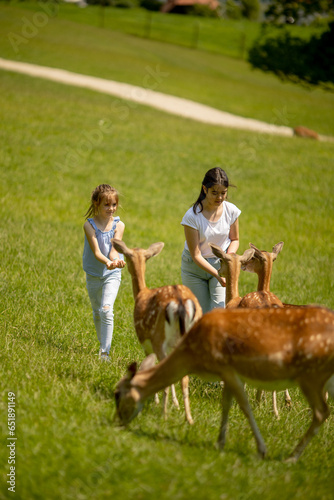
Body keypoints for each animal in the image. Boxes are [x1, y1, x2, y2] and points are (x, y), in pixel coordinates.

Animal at [111, 236, 202, 424]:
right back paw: (189, 418)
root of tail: (181, 302)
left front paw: (158, 401)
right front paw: (175, 404)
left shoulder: (146, 343)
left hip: (159, 337)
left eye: (127, 256)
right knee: (184, 377)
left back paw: (163, 414)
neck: (141, 293)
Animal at [115, 306, 334, 462]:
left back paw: (291, 457)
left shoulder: (226, 367)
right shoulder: (227, 373)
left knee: (321, 411)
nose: (118, 421)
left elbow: (244, 406)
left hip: (311, 374)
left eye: (117, 393)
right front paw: (220, 443)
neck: (193, 356)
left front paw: (261, 450)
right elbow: (226, 405)